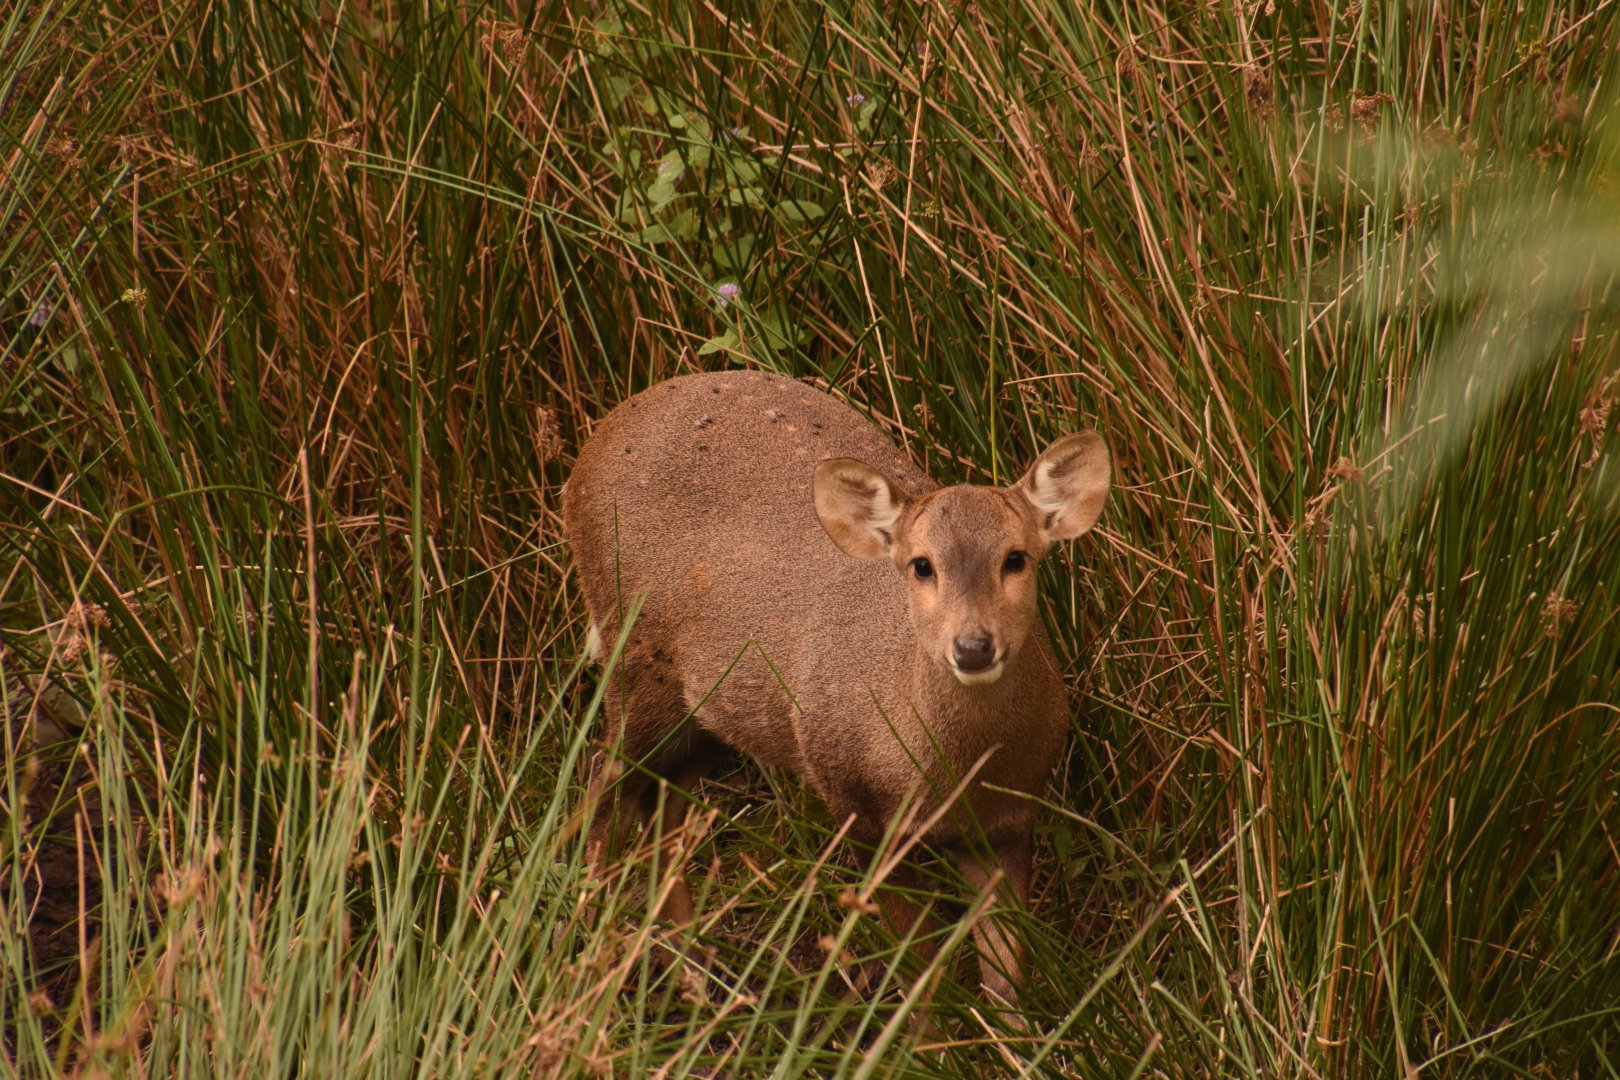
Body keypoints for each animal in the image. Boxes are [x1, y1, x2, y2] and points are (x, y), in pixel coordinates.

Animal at [561, 369, 1110, 1011]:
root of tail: (595, 442)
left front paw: (1011, 1033)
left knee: (662, 810)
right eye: (922, 565)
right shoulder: (857, 806)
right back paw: (595, 958)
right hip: (634, 660)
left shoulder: (1011, 820)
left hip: (715, 713)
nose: (973, 646)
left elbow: (1004, 972)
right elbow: (917, 970)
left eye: (1016, 557)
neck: (954, 772)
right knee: (603, 790)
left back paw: (700, 976)